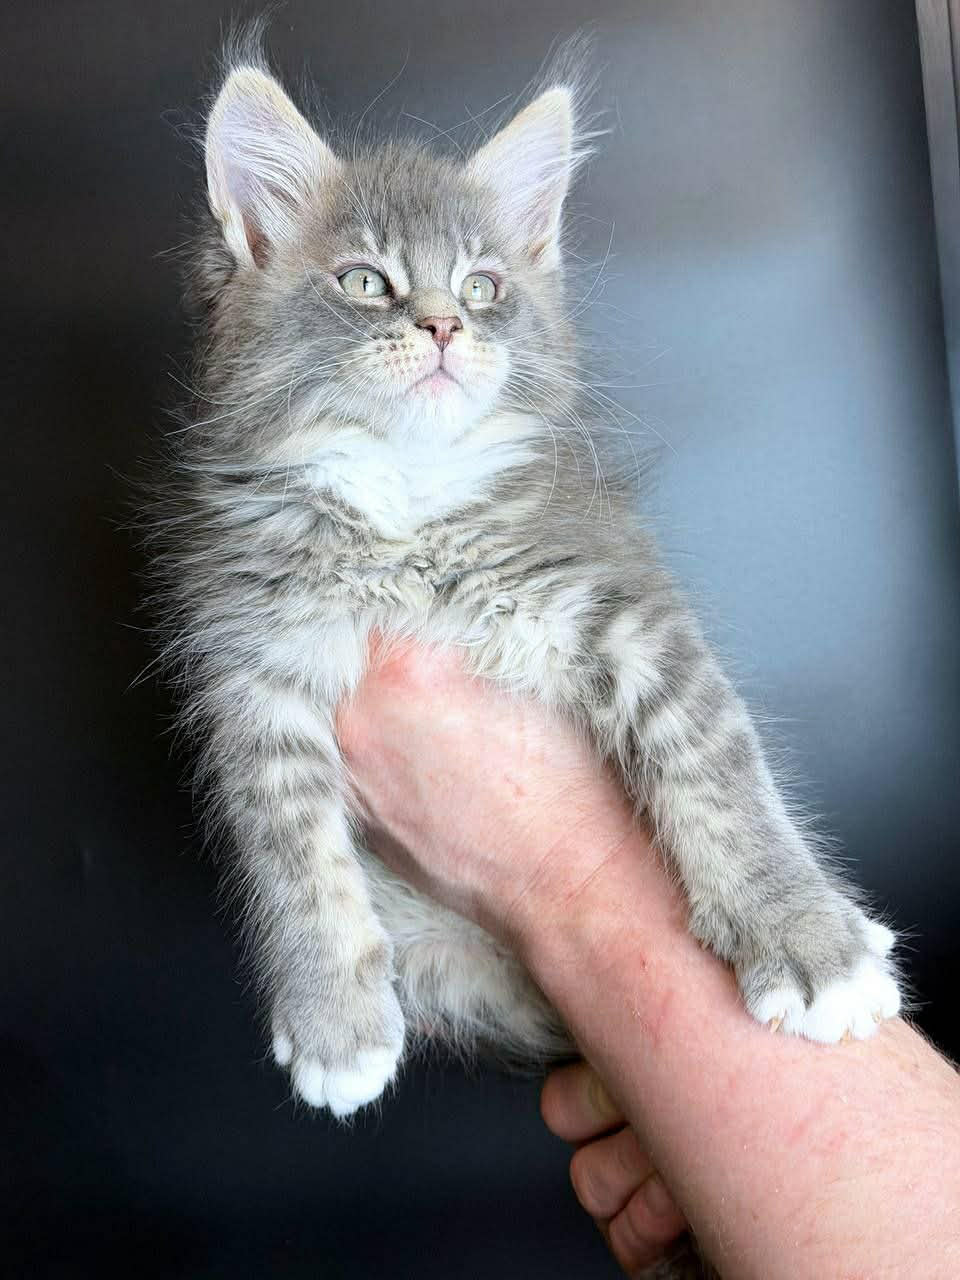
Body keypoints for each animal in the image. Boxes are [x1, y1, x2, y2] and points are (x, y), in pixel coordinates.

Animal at [153, 43, 901, 1130]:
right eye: (366, 280)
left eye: (482, 284)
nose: (442, 326)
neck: (407, 509)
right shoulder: (252, 668)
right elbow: (293, 854)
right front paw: (334, 1017)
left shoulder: (621, 604)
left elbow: (718, 772)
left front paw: (807, 939)